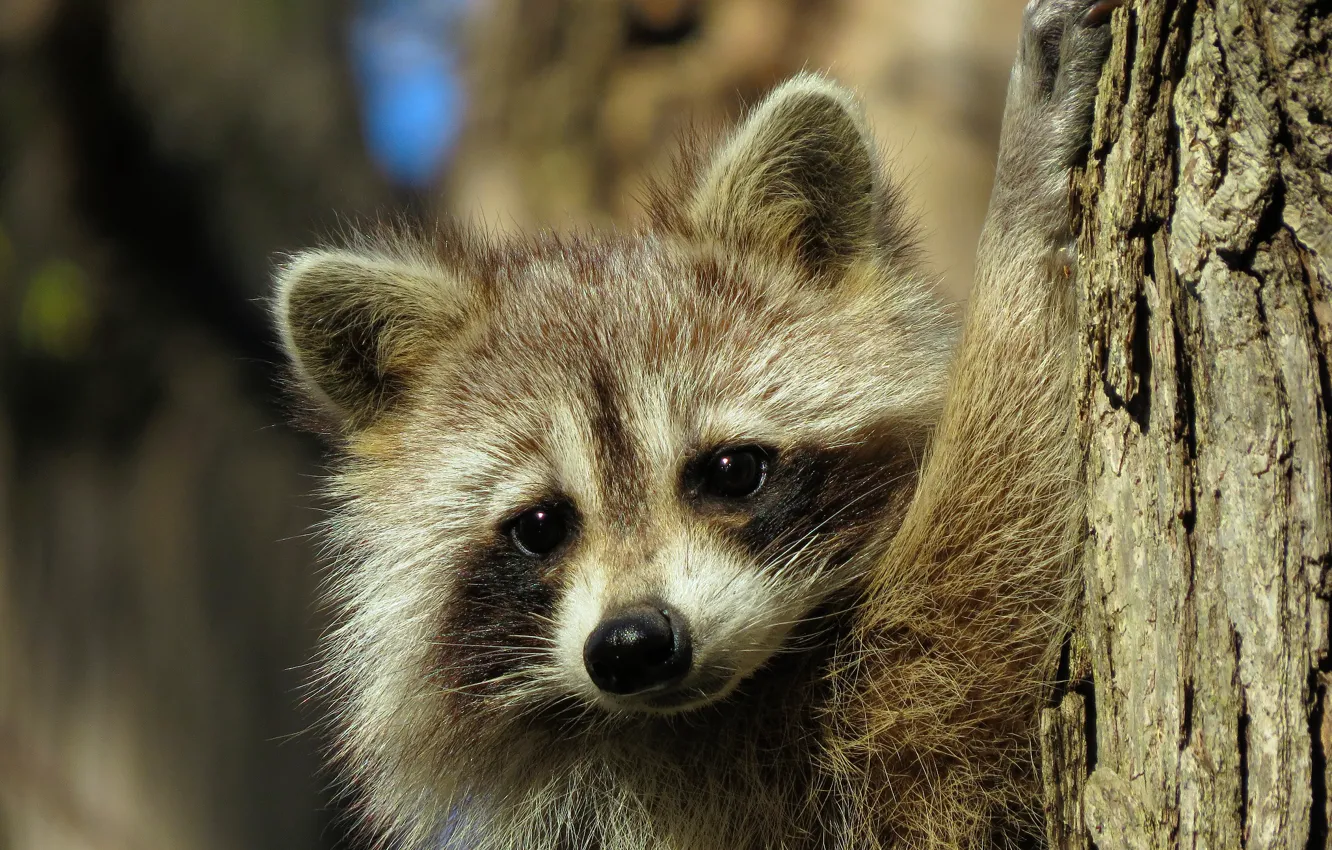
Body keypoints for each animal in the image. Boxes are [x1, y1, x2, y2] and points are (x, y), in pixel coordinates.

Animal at [273, 1, 1119, 847]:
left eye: (731, 470)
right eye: (541, 525)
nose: (632, 645)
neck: (737, 696)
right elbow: (974, 634)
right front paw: (1017, 226)